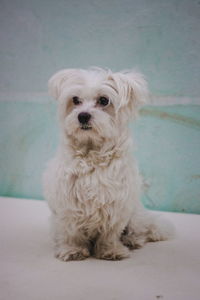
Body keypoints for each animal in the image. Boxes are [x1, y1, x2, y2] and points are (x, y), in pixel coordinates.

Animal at [43, 67, 173, 260]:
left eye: (104, 100)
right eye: (75, 100)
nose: (83, 116)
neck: (91, 155)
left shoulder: (116, 205)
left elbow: (110, 233)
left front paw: (110, 250)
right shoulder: (68, 205)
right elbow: (72, 233)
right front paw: (73, 250)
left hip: (134, 217)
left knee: (139, 231)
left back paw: (132, 241)